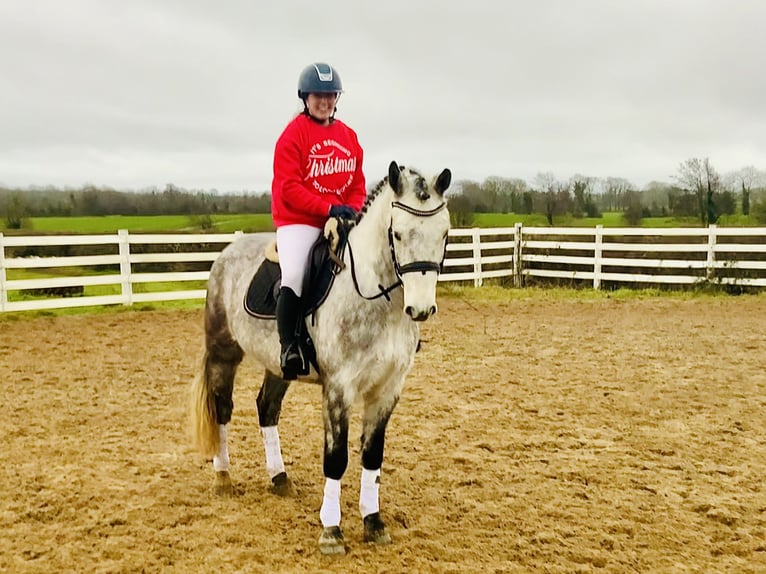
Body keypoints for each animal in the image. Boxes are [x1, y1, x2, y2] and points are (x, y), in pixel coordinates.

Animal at [192, 160, 452, 556]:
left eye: (444, 234)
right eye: (397, 234)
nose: (420, 309)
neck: (377, 301)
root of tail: (227, 253)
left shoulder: (387, 389)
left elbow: (372, 455)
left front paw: (373, 523)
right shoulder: (338, 389)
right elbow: (337, 458)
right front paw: (331, 531)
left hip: (278, 365)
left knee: (266, 408)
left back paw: (279, 478)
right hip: (224, 352)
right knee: (222, 408)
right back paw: (223, 477)